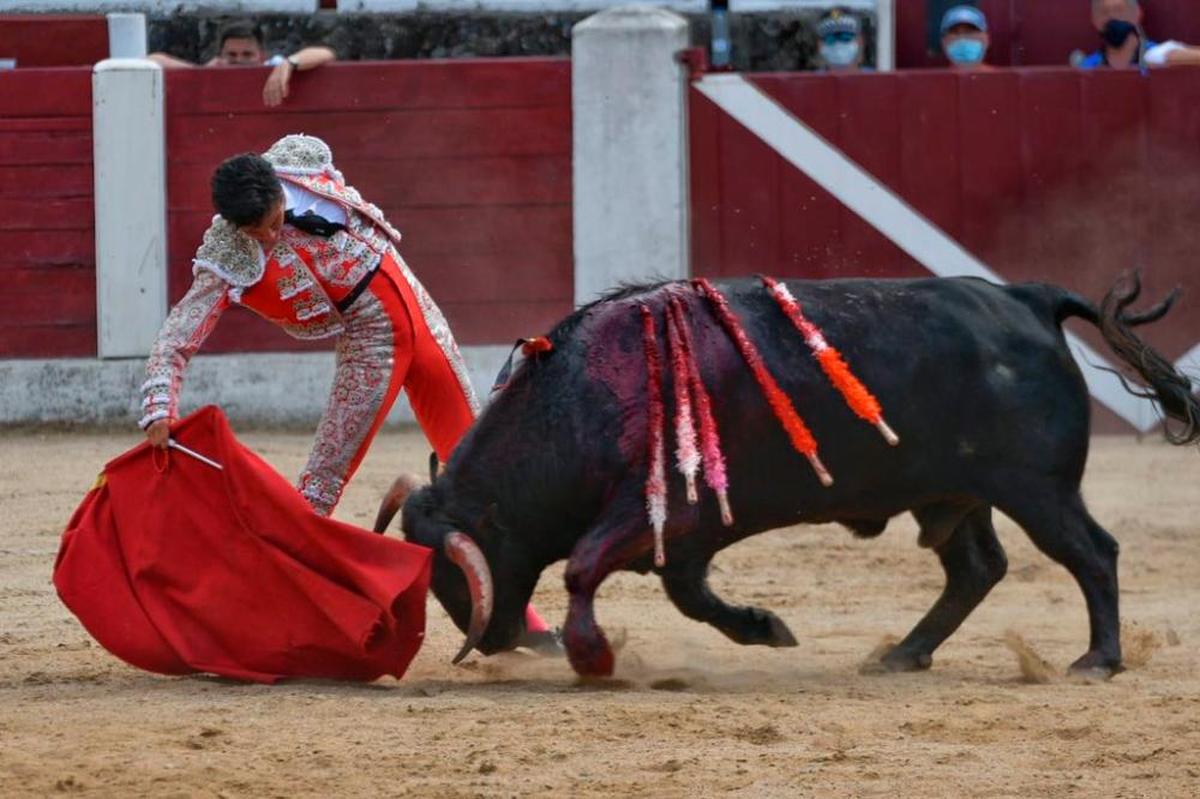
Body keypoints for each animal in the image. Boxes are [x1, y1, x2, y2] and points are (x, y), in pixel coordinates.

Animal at [386, 272, 1200, 671]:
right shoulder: (685, 537)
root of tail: (1028, 299)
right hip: (955, 494)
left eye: (451, 572)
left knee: (1091, 553)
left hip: (1039, 490)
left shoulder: (658, 512)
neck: (581, 399)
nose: (494, 641)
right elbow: (689, 597)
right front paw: (765, 628)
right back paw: (901, 655)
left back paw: (1097, 658)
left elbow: (584, 566)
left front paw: (593, 654)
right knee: (977, 568)